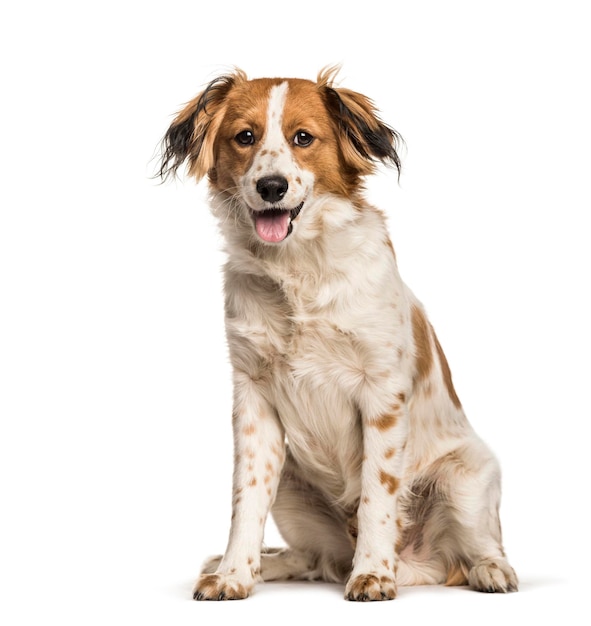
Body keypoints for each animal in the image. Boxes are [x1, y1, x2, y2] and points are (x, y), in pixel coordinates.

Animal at [158, 67, 520, 600]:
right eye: (244, 137)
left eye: (303, 138)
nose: (271, 186)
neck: (298, 270)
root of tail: (421, 565)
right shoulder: (254, 399)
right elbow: (245, 502)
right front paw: (232, 574)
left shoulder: (382, 396)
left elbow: (376, 497)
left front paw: (373, 573)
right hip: (291, 483)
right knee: (314, 558)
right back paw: (265, 564)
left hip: (469, 477)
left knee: (479, 547)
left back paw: (487, 570)